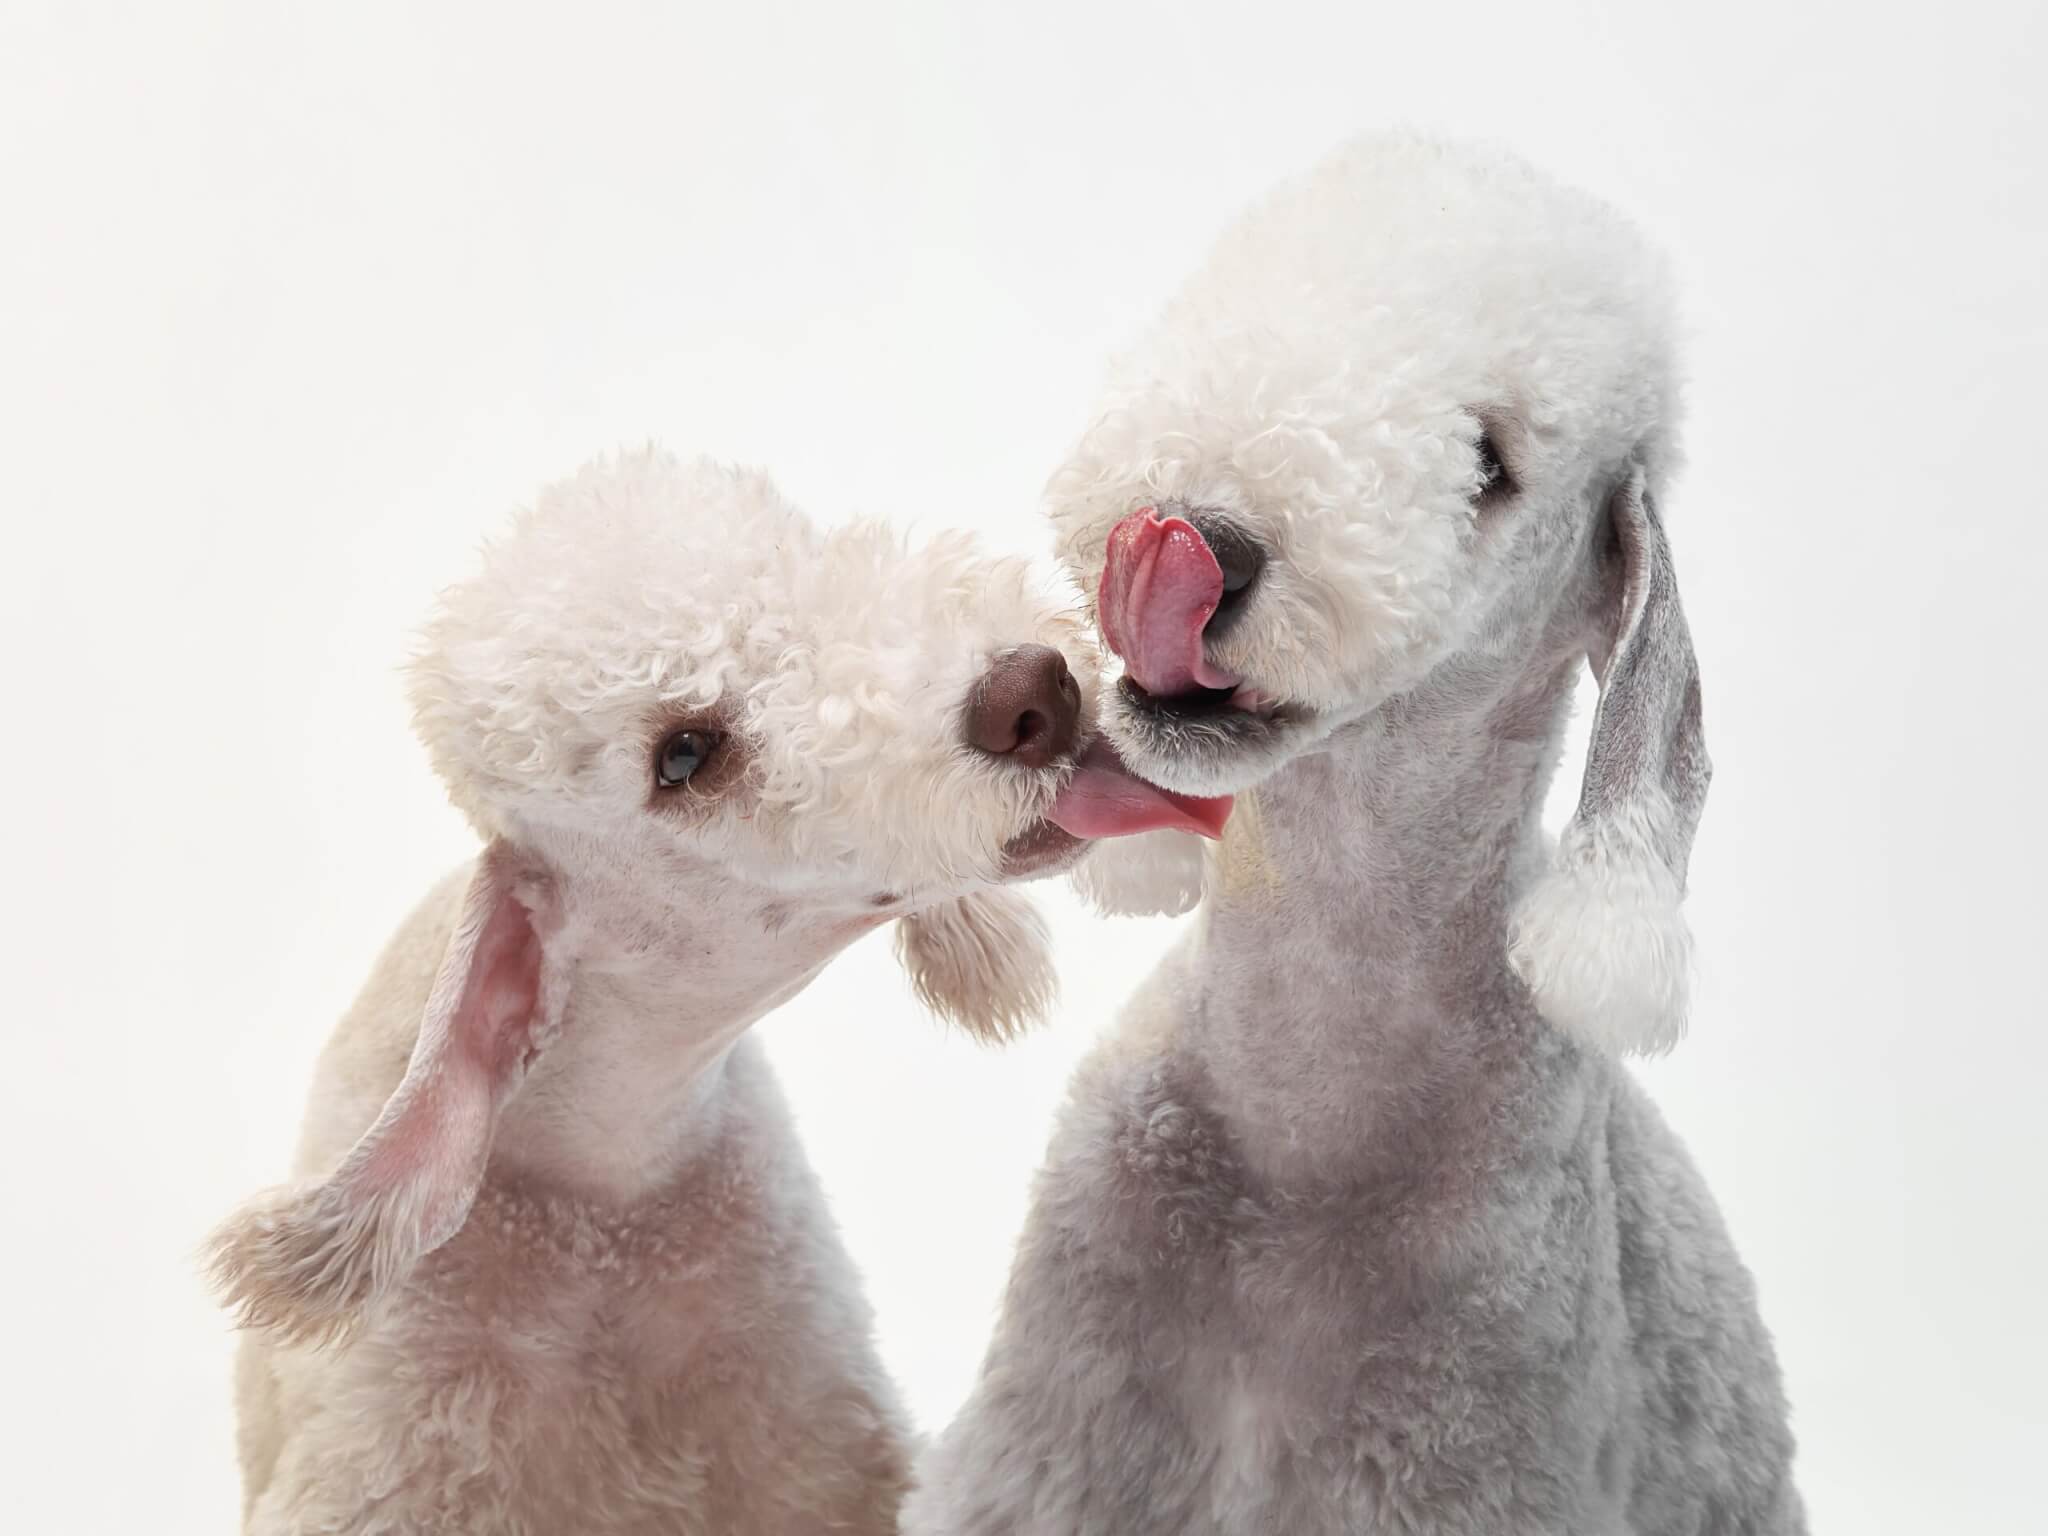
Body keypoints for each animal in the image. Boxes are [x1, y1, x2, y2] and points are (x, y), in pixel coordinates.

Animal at [905, 138, 1802, 1531]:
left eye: (1490, 465)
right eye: (1226, 301)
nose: (1196, 540)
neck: (1300, 1142)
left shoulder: (1466, 1452)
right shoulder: (1051, 1441)